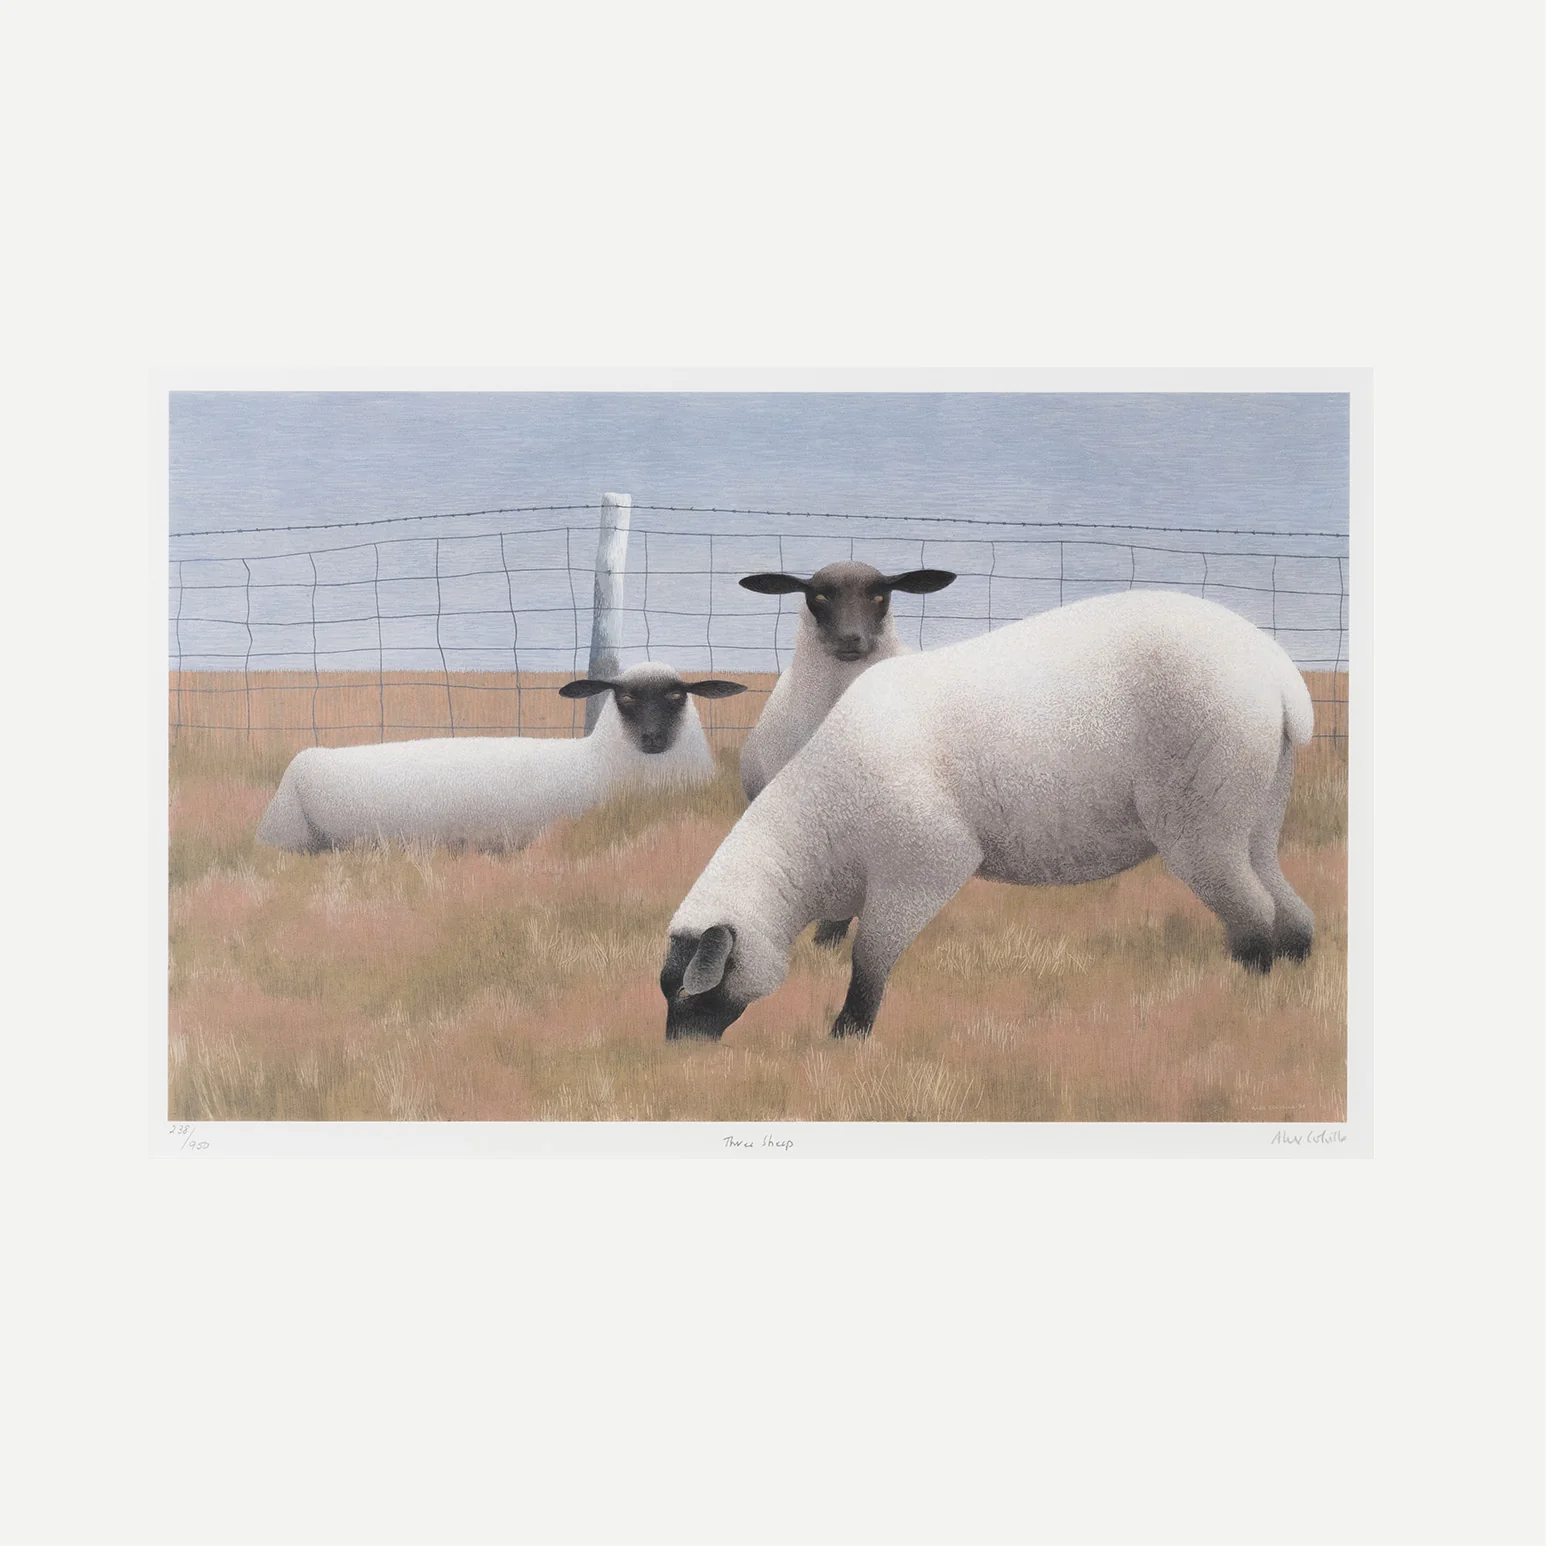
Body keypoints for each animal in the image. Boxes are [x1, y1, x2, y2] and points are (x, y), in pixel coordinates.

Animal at [255, 663, 746, 854]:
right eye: (624, 697)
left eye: (677, 695)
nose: (652, 738)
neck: (596, 760)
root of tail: (305, 759)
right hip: (287, 838)